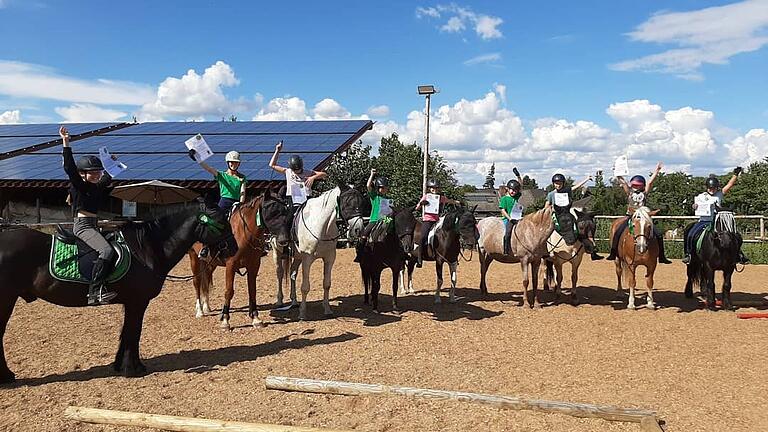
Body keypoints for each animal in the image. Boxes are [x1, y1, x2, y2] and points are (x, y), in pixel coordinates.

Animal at [0, 202, 237, 382]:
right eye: (221, 224)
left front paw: (120, 364)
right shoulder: (137, 302)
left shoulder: (130, 302)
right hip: (6, 300)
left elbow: (126, 332)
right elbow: (134, 332)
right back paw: (6, 376)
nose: (234, 248)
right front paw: (133, 369)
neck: (145, 249)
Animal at [189, 190, 292, 330]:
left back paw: (206, 307)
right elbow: (229, 291)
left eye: (286, 211)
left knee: (206, 279)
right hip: (193, 257)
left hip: (210, 263)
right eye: (270, 211)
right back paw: (199, 311)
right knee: (197, 282)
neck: (243, 232)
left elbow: (252, 290)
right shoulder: (231, 265)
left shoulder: (254, 265)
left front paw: (255, 318)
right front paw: (225, 320)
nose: (284, 240)